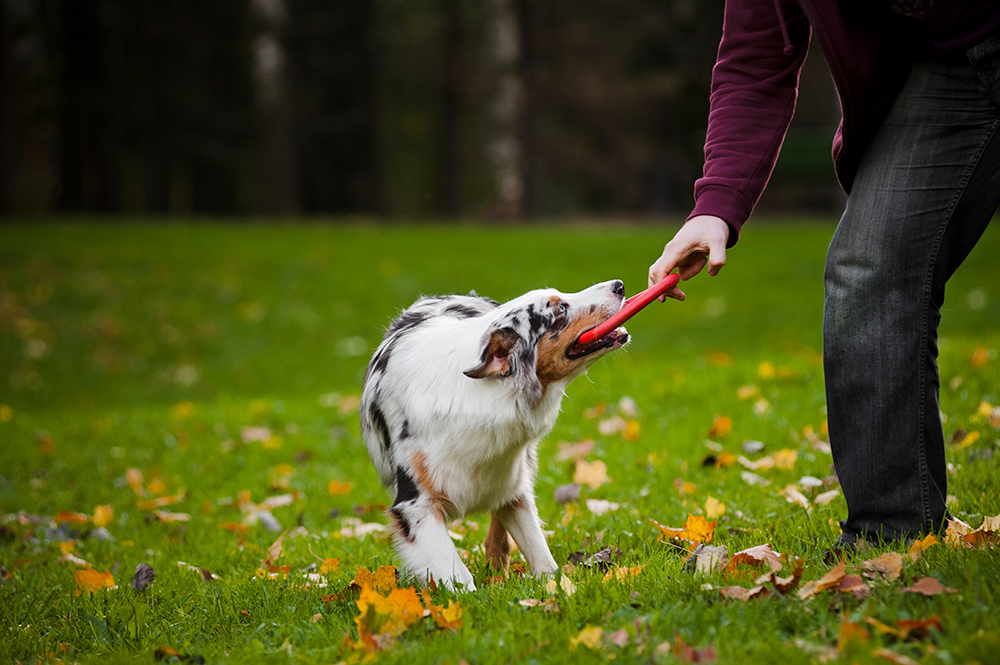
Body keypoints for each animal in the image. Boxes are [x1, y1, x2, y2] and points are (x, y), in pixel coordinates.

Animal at [356, 278, 628, 588]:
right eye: (560, 309)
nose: (619, 284)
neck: (478, 397)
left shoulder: (515, 487)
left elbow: (543, 557)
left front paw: (556, 588)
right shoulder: (415, 506)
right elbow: (458, 575)